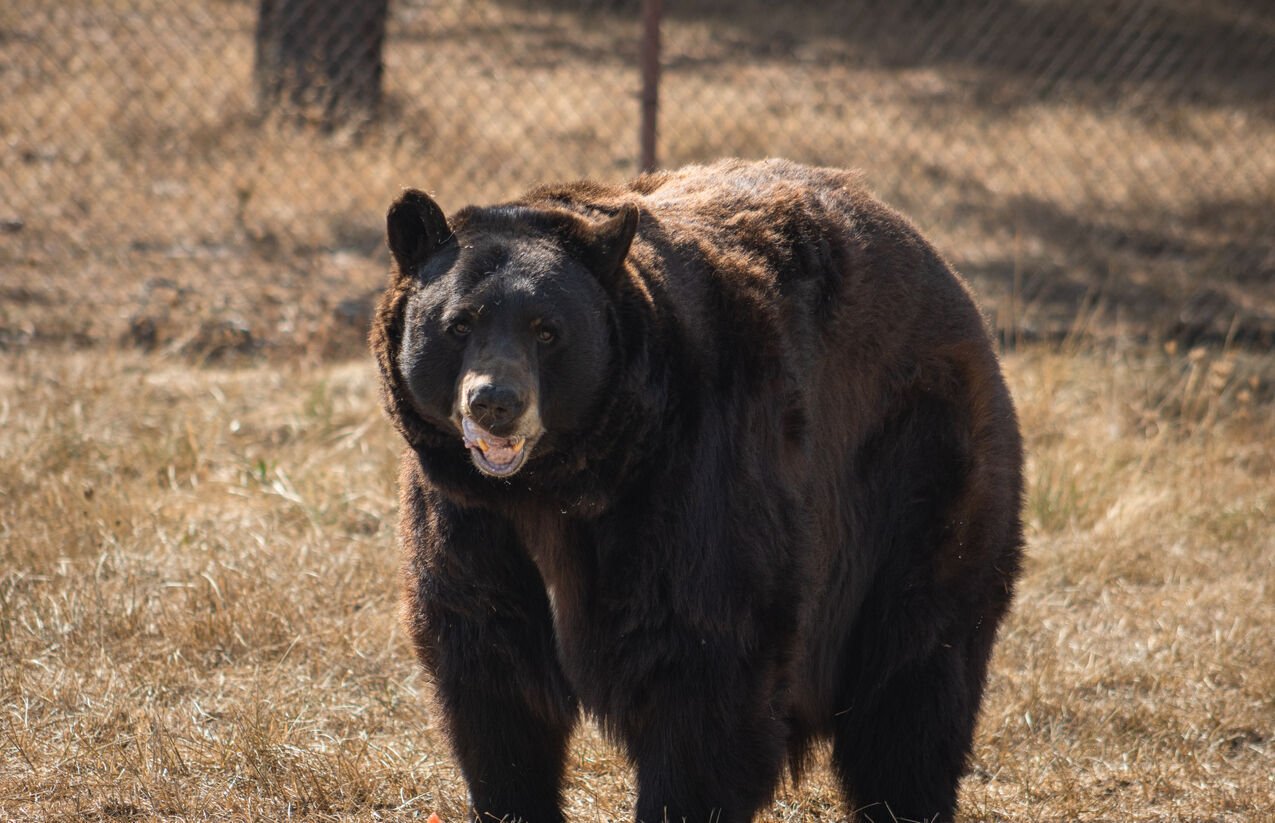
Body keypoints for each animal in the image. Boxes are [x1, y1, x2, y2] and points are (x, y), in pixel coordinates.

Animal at [372, 157, 1025, 816]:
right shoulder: (471, 522)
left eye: (547, 330)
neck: (555, 488)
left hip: (920, 473)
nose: (495, 403)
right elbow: (491, 679)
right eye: (459, 324)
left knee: (914, 682)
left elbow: (703, 675)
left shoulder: (693, 481)